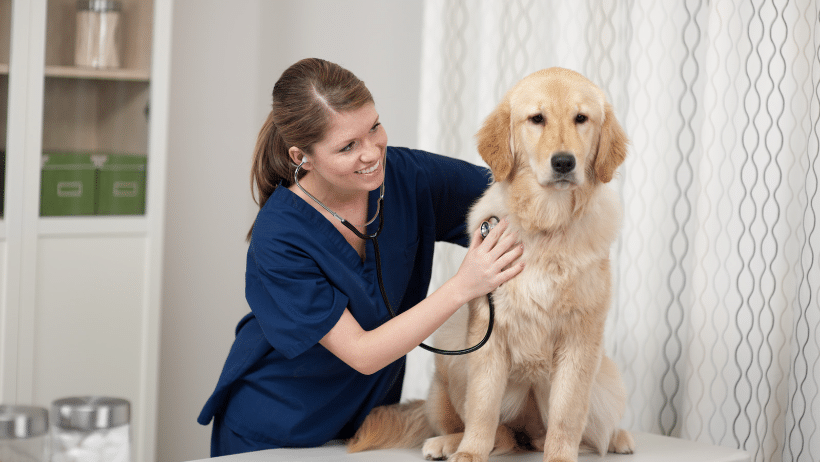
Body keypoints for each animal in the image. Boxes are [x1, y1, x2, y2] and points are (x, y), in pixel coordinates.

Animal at [346, 67, 636, 462]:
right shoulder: (488, 333)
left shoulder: (581, 338)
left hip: (607, 378)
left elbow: (567, 413)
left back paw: (617, 437)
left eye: (581, 118)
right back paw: (448, 443)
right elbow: (482, 408)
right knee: (492, 429)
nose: (563, 162)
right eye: (537, 119)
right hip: (450, 357)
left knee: (589, 432)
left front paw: (560, 456)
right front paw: (470, 452)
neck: (546, 227)